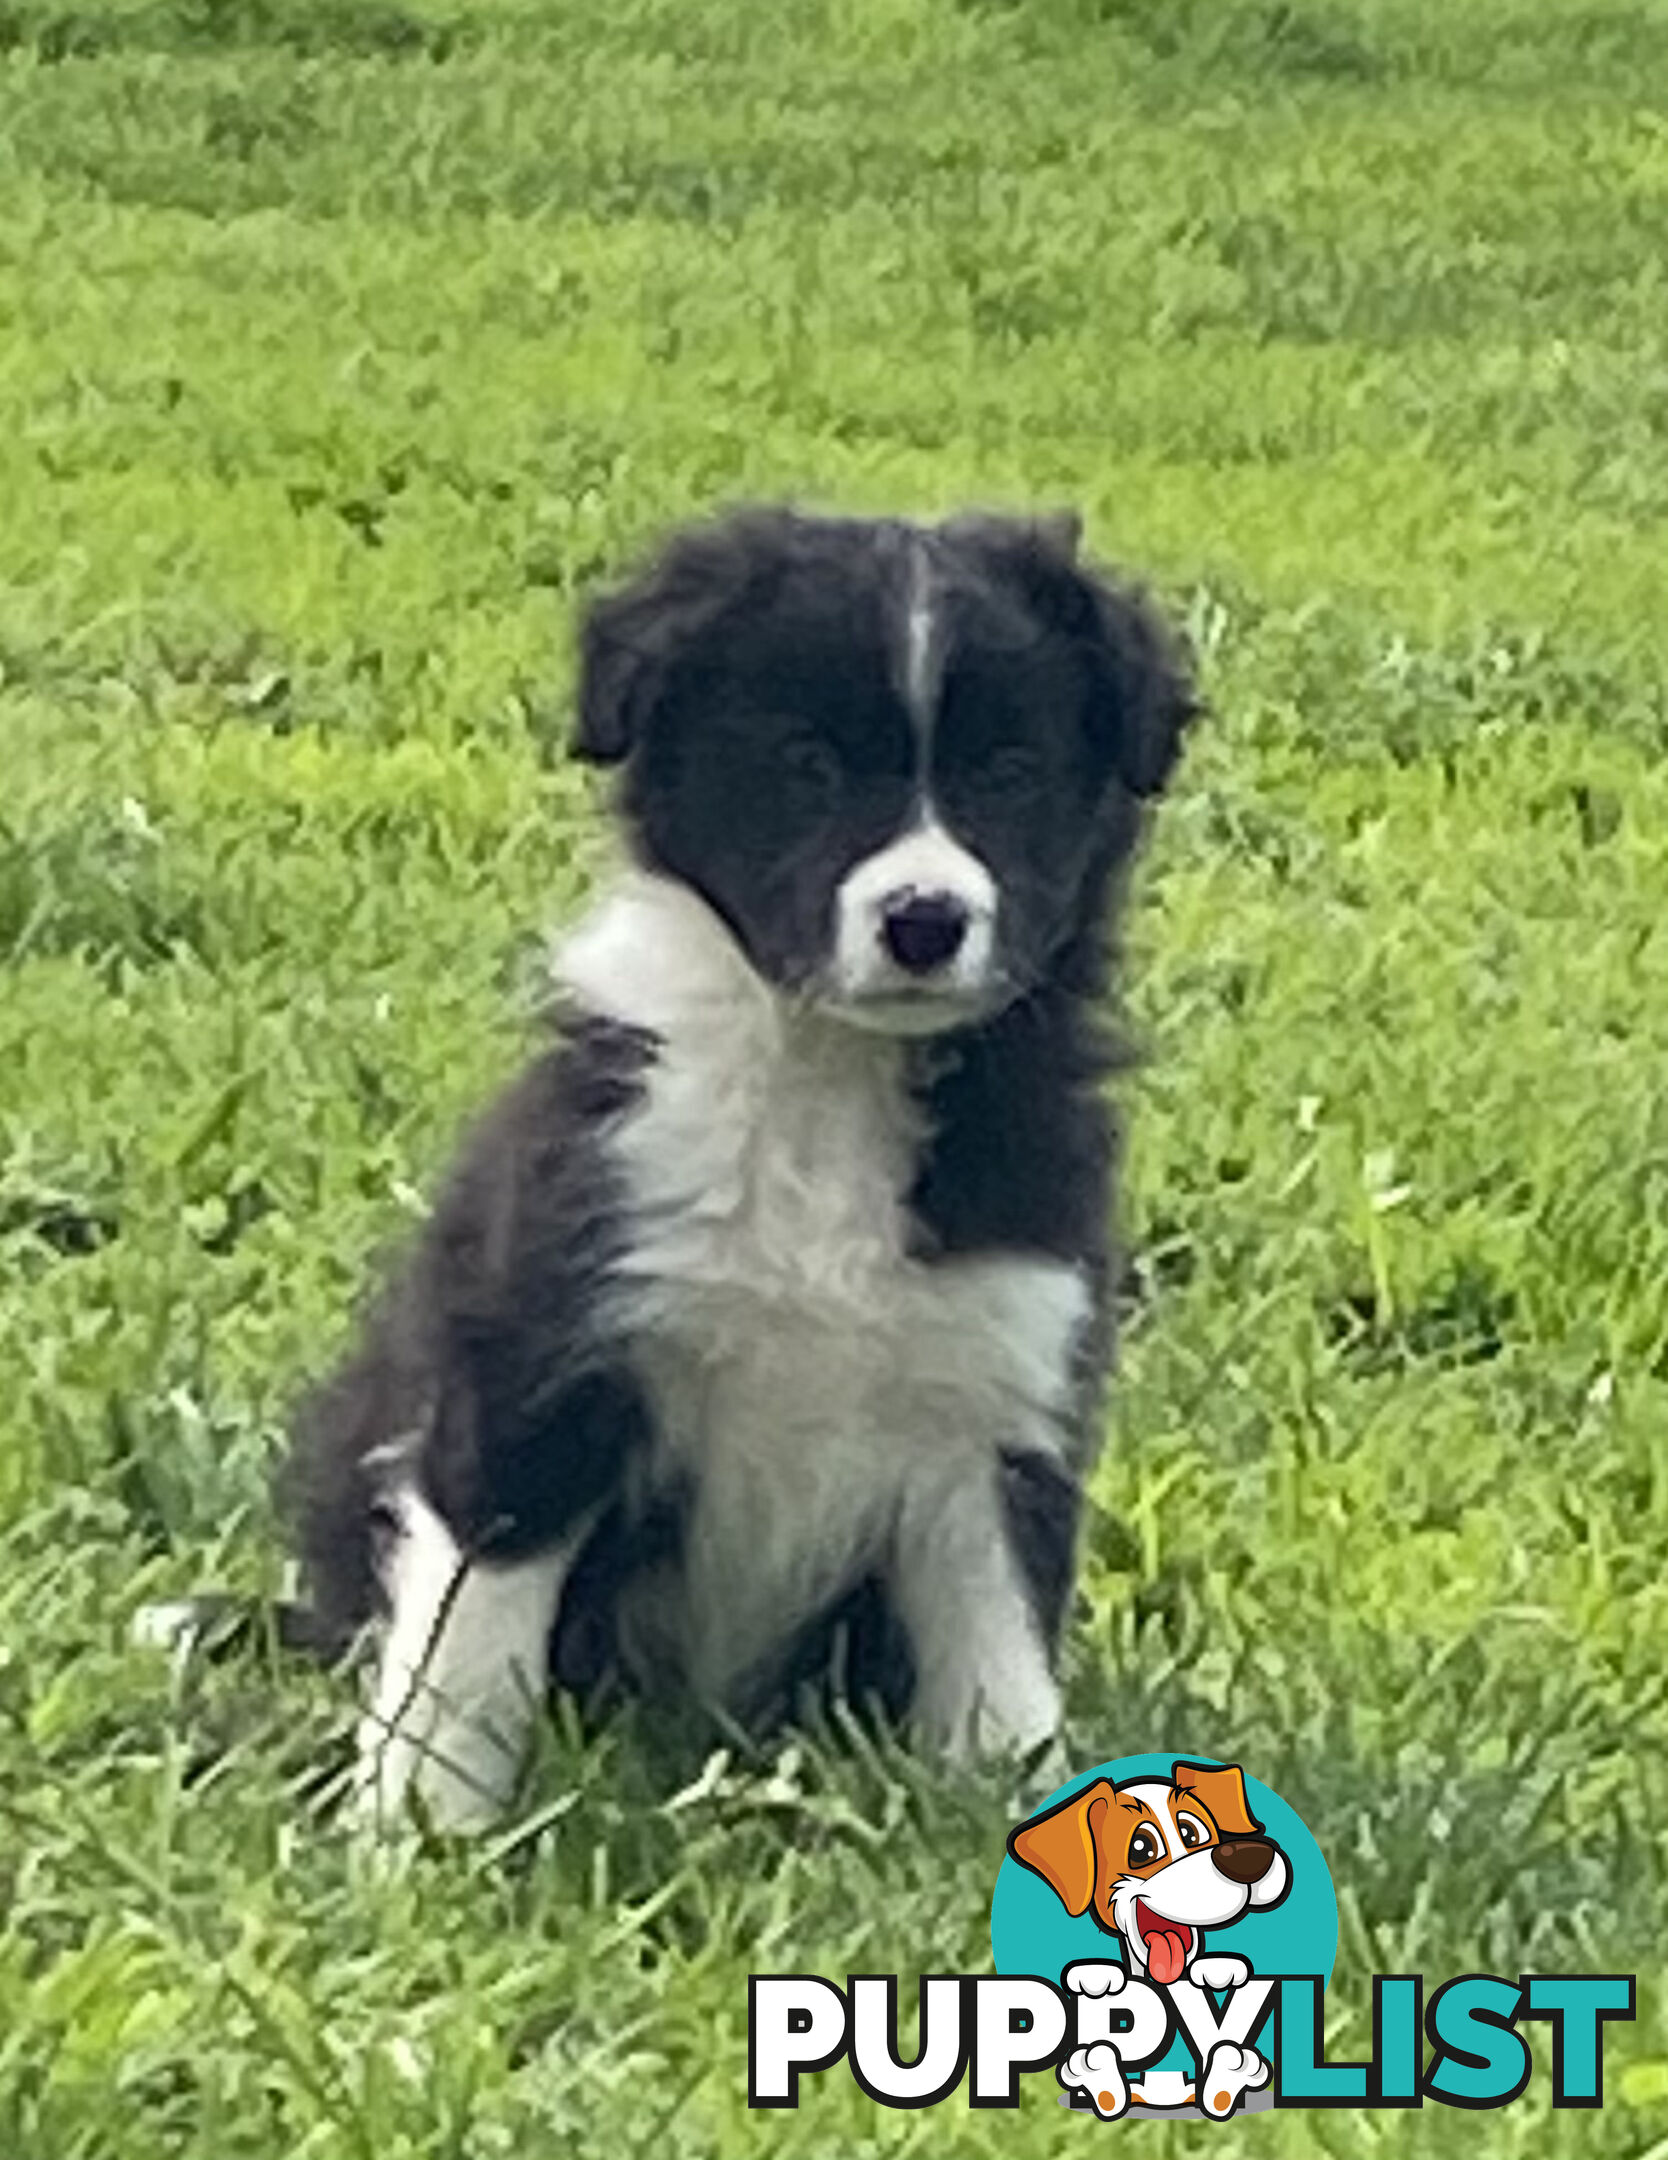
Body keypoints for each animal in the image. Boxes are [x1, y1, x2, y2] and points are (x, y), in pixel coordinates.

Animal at [287, 509, 1201, 1840]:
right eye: (806, 761)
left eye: (1010, 770)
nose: (924, 921)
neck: (828, 1078)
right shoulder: (538, 1372)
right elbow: (468, 1655)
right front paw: (419, 1839)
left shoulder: (995, 1410)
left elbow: (1000, 1675)